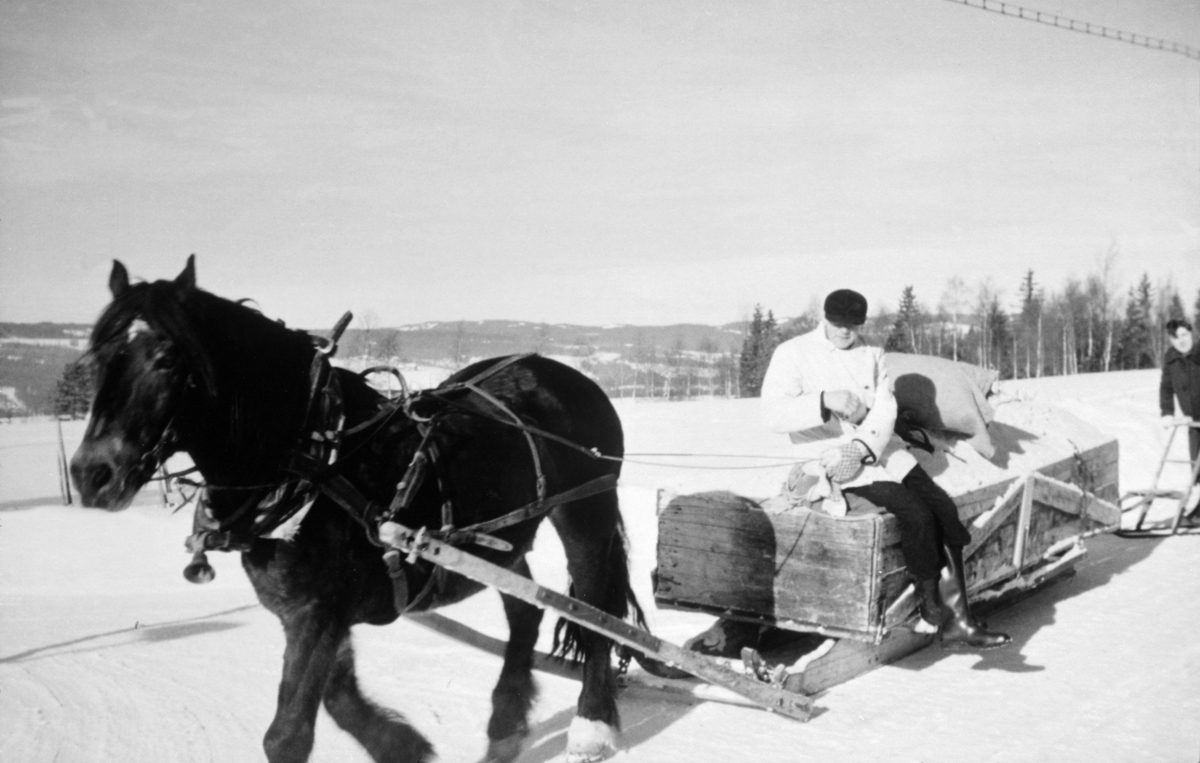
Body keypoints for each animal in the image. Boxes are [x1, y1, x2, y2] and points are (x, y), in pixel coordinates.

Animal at [71, 257, 652, 763]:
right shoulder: (315, 612)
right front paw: (403, 746)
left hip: (586, 513)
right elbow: (338, 697)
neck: (312, 458)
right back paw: (506, 728)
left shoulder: (316, 612)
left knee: (596, 613)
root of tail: (560, 371)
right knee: (528, 612)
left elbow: (288, 735)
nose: (90, 474)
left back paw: (593, 726)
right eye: (96, 360)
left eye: (167, 359)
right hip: (502, 540)